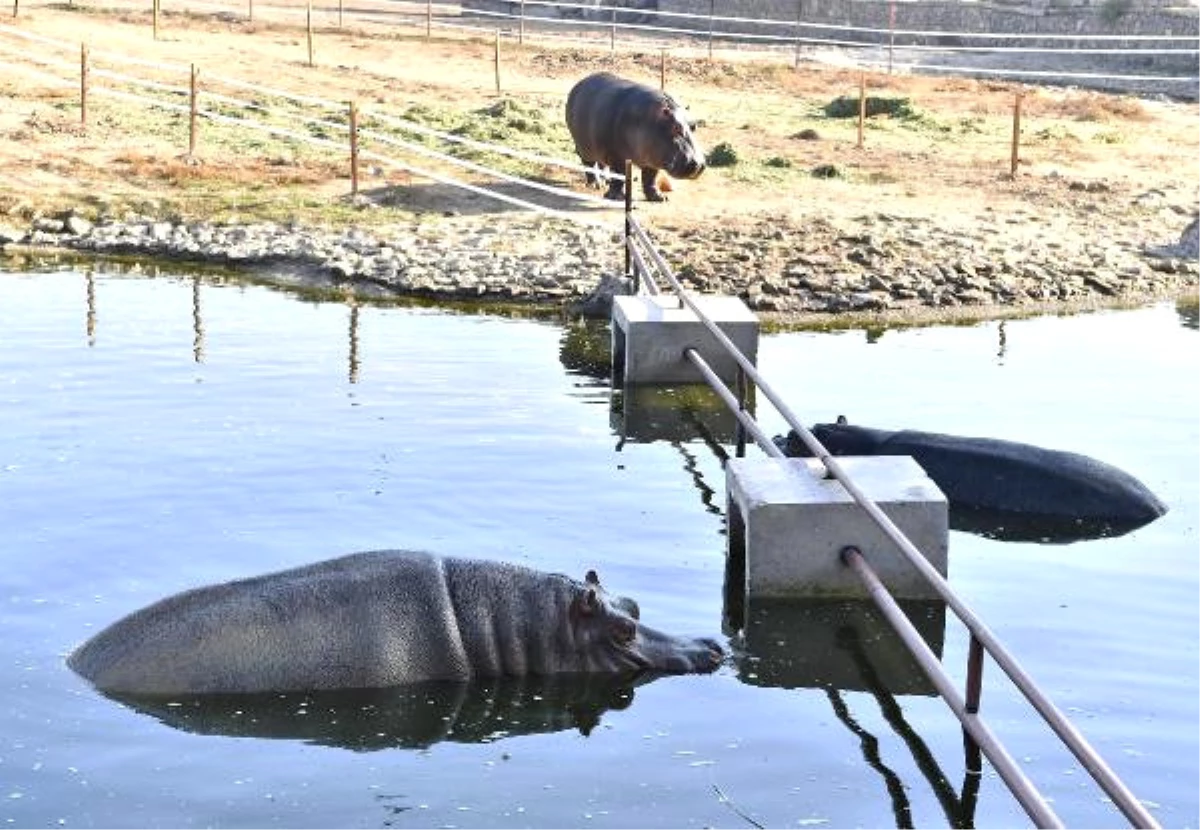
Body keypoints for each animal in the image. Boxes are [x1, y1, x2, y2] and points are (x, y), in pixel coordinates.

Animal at [566, 71, 705, 201]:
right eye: (676, 127)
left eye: (694, 126)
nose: (699, 164)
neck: (648, 119)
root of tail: (579, 84)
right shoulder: (617, 157)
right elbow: (620, 176)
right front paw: (617, 197)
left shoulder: (652, 160)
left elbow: (650, 179)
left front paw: (659, 198)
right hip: (583, 147)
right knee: (589, 164)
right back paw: (596, 184)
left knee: (602, 164)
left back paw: (605, 181)